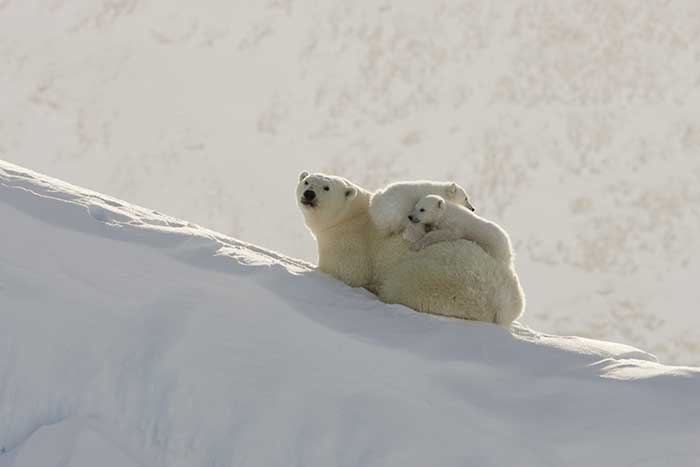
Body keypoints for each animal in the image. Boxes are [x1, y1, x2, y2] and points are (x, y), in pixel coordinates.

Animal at [296, 170, 524, 328]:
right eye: (307, 181)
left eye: (326, 187)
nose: (309, 194)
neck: (354, 215)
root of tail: (505, 305)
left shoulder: (352, 243)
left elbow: (347, 273)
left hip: (438, 281)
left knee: (399, 285)